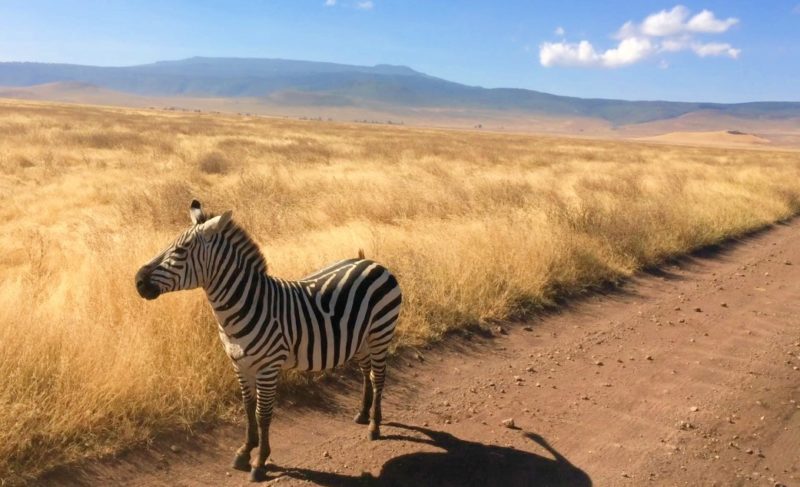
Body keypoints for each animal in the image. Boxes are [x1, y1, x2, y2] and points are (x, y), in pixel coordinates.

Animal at [135, 200, 406, 482]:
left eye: (181, 250)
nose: (138, 281)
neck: (245, 306)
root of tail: (371, 262)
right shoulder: (239, 365)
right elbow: (247, 408)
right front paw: (245, 450)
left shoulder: (268, 367)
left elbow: (262, 414)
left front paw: (260, 461)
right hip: (361, 338)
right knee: (366, 373)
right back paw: (363, 414)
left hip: (380, 332)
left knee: (378, 376)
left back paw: (374, 425)